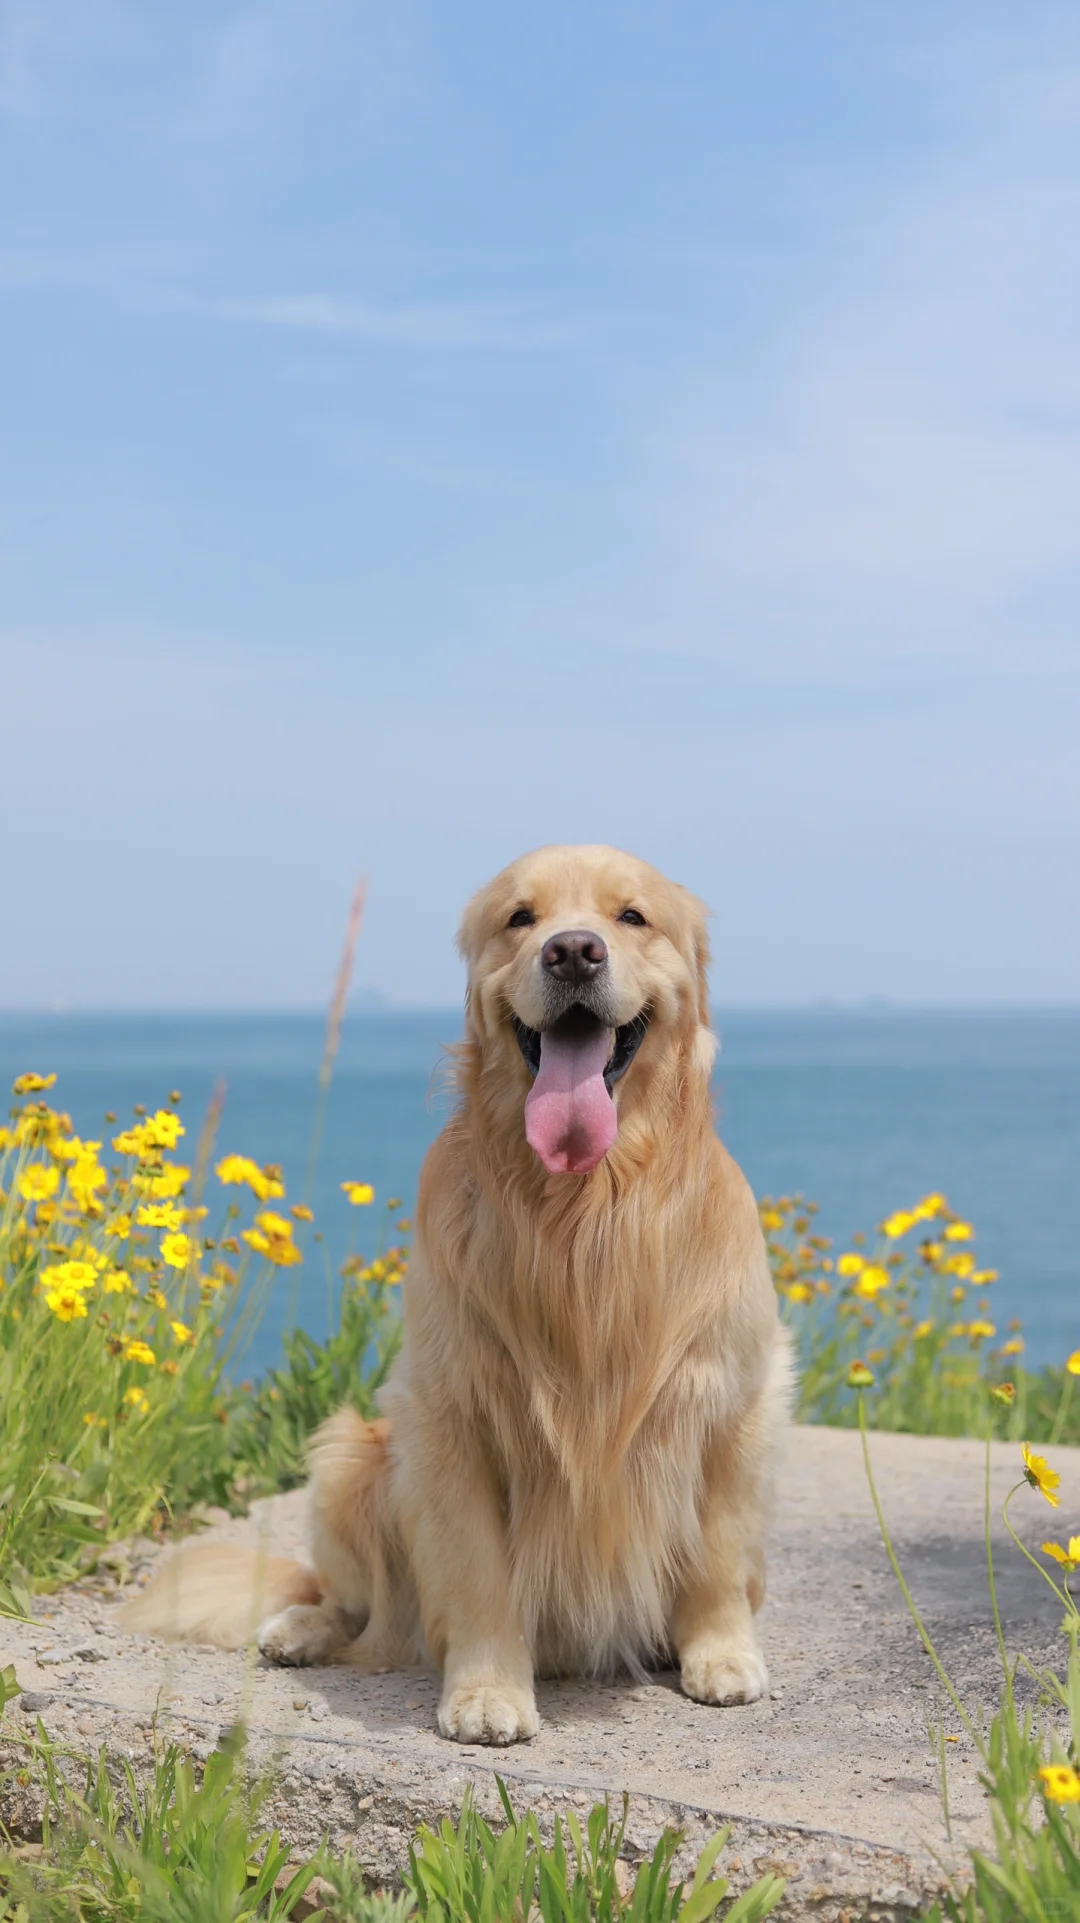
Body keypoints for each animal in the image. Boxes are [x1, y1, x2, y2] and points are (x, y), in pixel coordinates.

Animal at [122, 842, 787, 1746]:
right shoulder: (452, 1417)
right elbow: (477, 1574)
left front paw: (721, 1653)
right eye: (520, 917)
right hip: (350, 1458)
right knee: (353, 1602)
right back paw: (300, 1627)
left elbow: (719, 1553)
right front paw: (486, 1692)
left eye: (632, 916)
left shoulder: (732, 1398)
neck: (585, 1213)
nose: (572, 951)